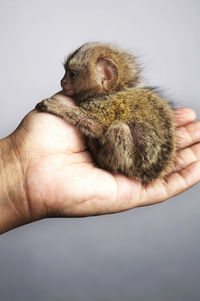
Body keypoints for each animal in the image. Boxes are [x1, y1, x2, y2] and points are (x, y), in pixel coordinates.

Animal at [36, 42, 175, 183]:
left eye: (72, 74)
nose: (62, 82)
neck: (111, 91)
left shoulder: (104, 104)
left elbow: (97, 126)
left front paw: (57, 107)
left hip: (131, 159)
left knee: (118, 127)